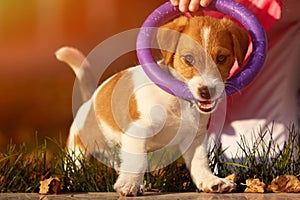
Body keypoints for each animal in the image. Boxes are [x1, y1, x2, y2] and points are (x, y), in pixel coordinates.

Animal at [55, 15, 248, 195]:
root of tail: (91, 98)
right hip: (78, 150)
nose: (207, 92)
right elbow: (138, 161)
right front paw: (129, 184)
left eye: (221, 58)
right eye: (188, 59)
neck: (178, 102)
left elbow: (200, 162)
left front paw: (211, 182)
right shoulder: (138, 130)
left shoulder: (195, 138)